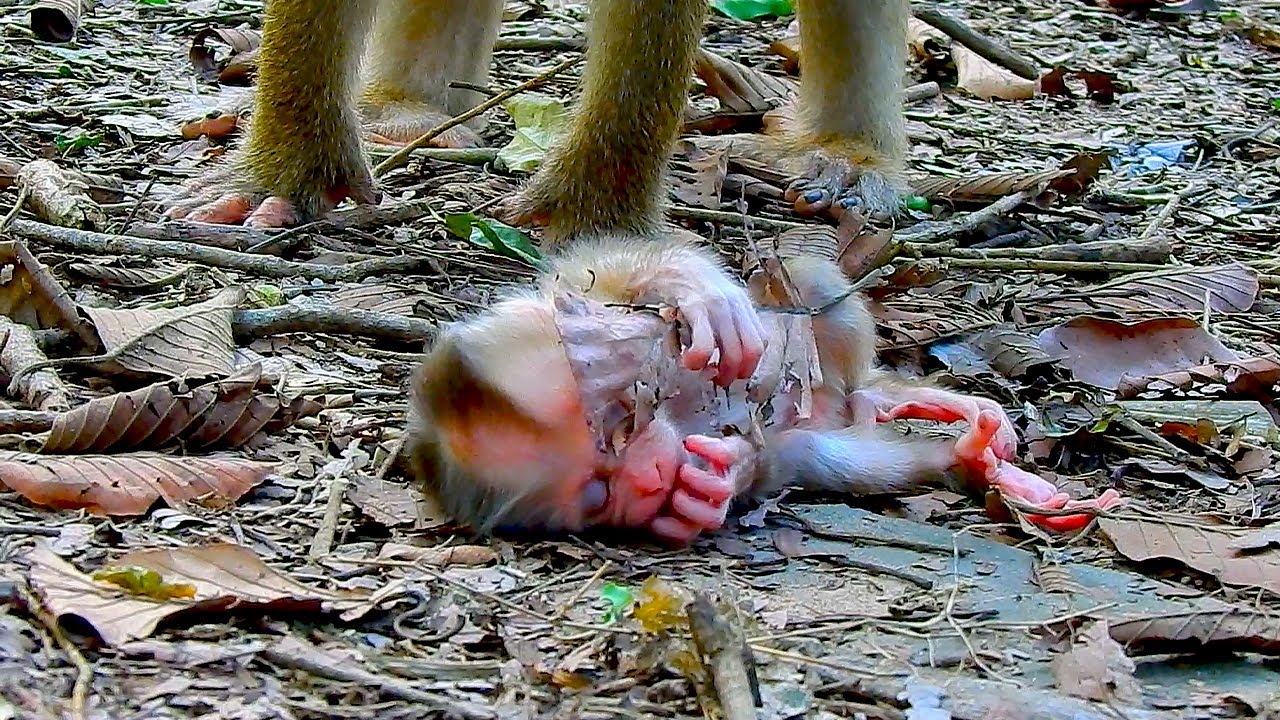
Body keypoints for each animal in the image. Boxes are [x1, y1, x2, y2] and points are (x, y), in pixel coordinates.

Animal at [403, 235, 1123, 545]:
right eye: (600, 495)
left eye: (623, 421)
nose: (648, 476)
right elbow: (775, 458)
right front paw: (701, 494)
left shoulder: (590, 292)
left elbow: (630, 263)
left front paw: (702, 295)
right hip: (829, 421)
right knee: (836, 446)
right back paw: (955, 451)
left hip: (820, 329)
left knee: (811, 294)